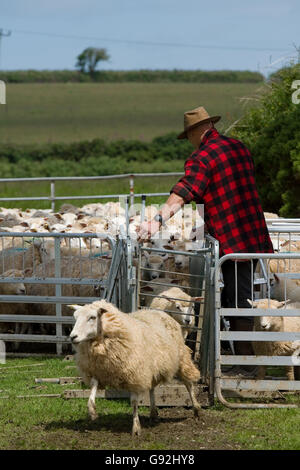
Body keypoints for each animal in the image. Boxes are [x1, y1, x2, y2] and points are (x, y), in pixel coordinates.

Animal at [69, 302, 202, 436]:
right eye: (75, 317)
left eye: (92, 317)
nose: (72, 337)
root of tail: (156, 311)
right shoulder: (97, 371)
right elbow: (92, 390)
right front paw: (92, 412)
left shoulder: (135, 375)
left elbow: (134, 403)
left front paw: (136, 427)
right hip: (151, 367)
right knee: (152, 388)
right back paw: (153, 413)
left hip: (181, 359)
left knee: (188, 383)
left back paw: (196, 410)